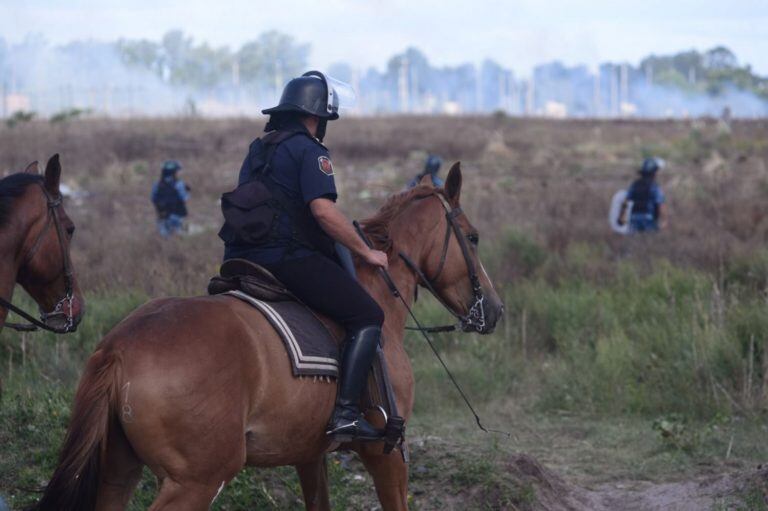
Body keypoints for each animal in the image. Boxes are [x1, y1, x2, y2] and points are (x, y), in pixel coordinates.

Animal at [33, 164, 504, 511]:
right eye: (474, 237)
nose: (495, 311)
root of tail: (118, 348)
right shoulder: (387, 455)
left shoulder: (310, 456)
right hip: (196, 480)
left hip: (119, 471)